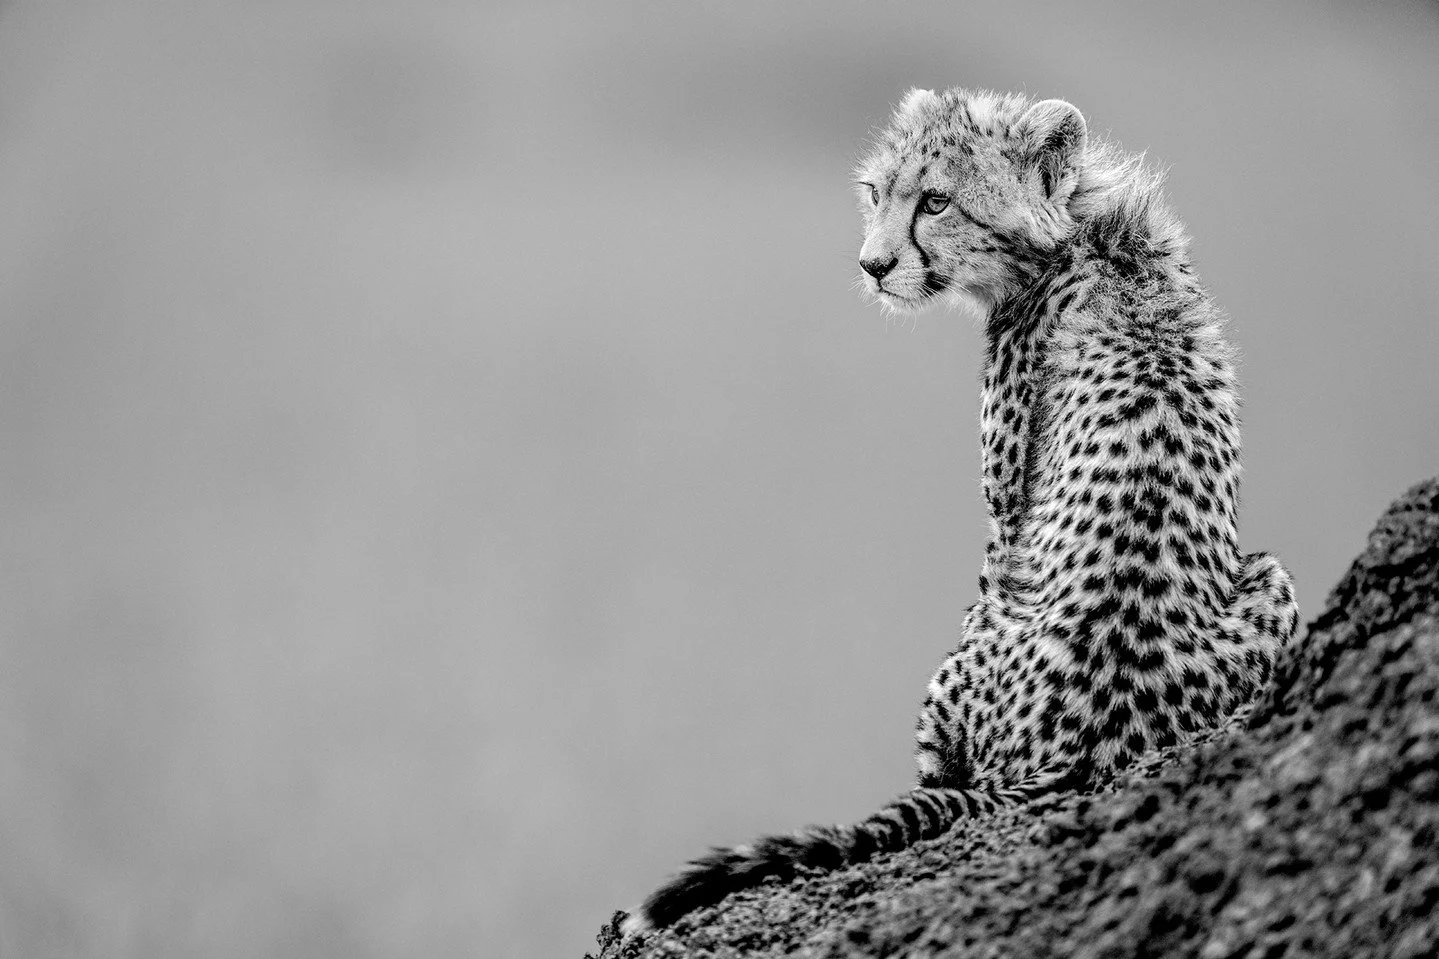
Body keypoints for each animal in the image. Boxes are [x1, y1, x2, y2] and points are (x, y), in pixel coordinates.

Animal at [621, 87, 1299, 937]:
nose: (873, 265)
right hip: (1270, 576)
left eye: (936, 202)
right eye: (876, 193)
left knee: (942, 770)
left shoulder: (1004, 521)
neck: (1085, 233)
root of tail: (1074, 748)